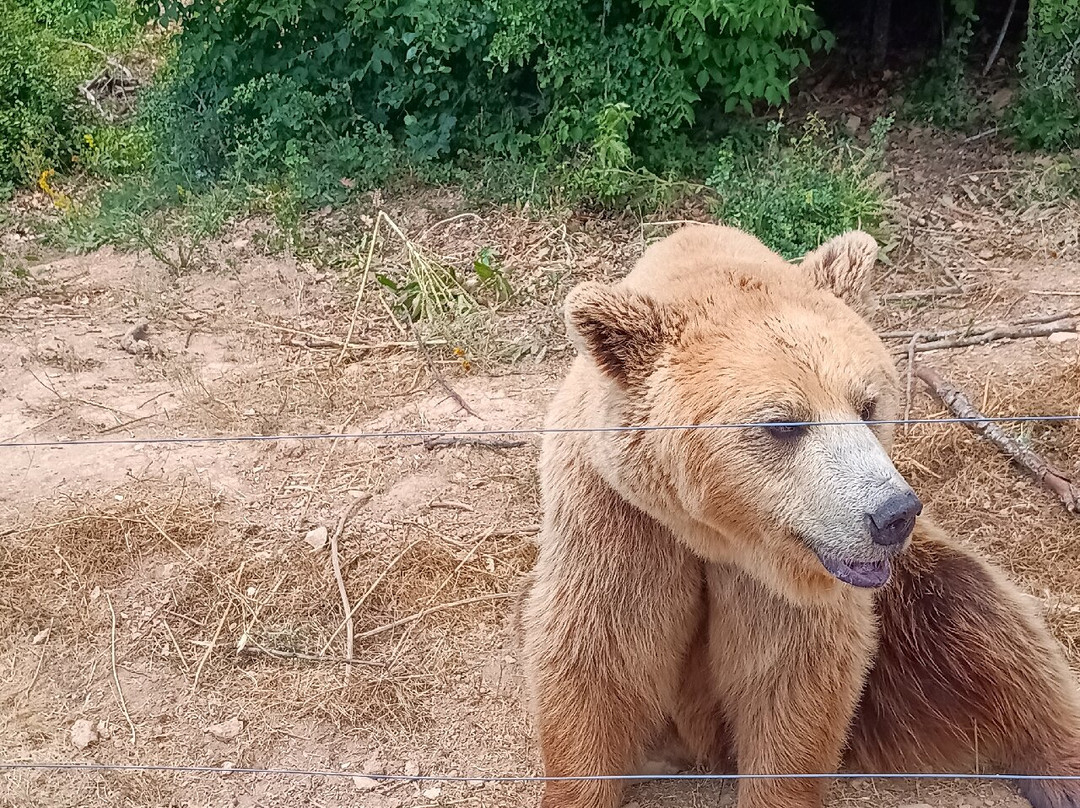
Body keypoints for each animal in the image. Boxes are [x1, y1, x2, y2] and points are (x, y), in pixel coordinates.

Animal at [517, 222, 1080, 808]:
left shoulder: (791, 578)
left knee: (981, 622)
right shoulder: (618, 518)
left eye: (867, 405)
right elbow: (598, 656)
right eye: (785, 423)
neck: (717, 537)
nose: (893, 514)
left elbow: (791, 680)